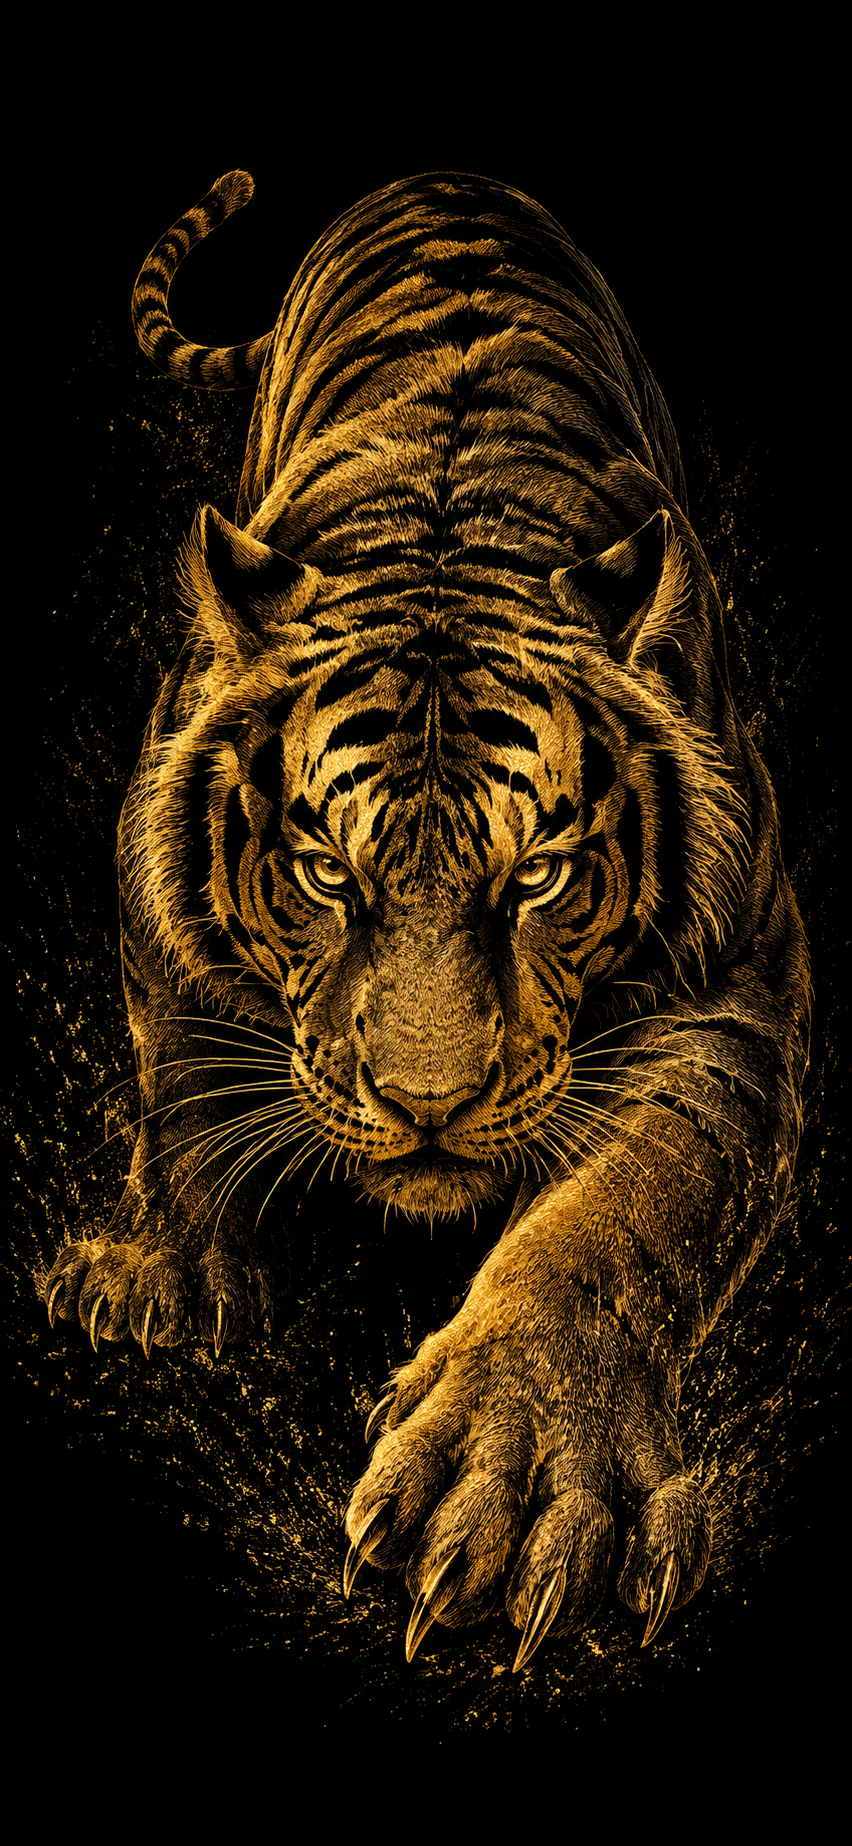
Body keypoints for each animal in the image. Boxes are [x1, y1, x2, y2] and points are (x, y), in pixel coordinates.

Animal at [44, 168, 810, 1672]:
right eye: (324, 872)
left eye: (541, 876)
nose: (427, 1106)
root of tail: (443, 173)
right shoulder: (151, 866)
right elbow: (179, 1078)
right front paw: (166, 1276)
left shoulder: (740, 993)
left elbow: (621, 1212)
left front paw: (513, 1476)